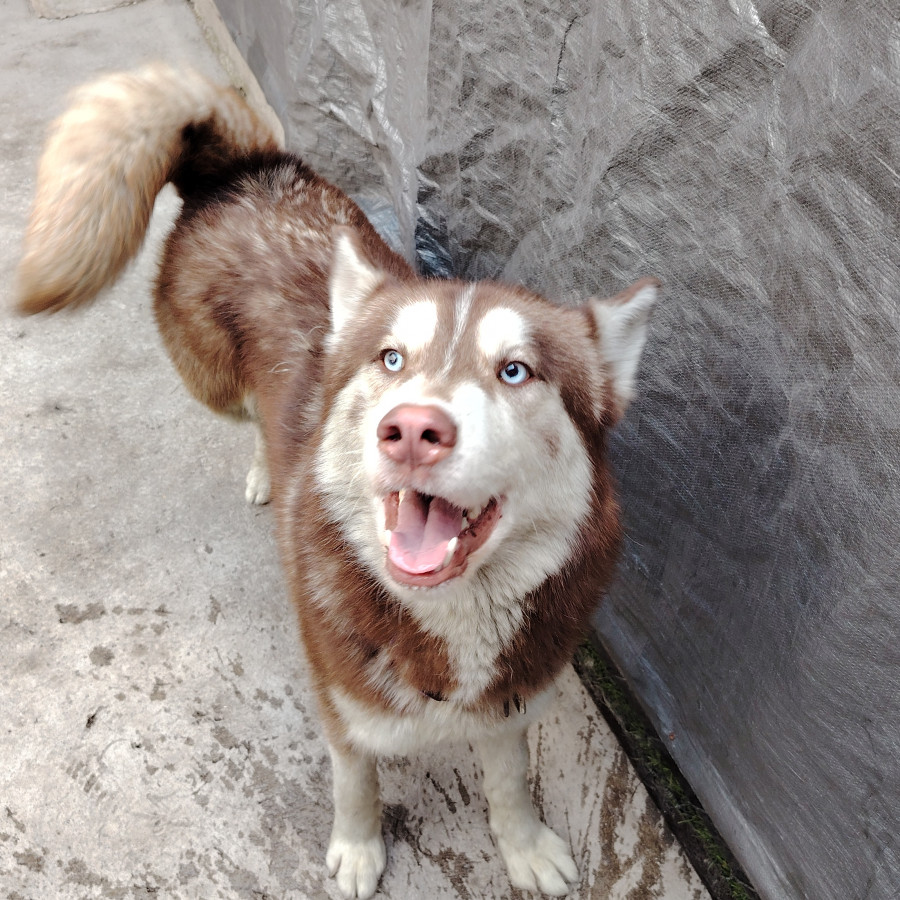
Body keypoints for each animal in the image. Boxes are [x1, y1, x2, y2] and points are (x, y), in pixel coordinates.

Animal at [17, 65, 656, 900]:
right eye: (392, 359)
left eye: (515, 371)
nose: (412, 430)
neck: (448, 623)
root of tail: (246, 166)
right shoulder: (340, 699)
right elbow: (357, 778)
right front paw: (357, 848)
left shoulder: (510, 702)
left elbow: (510, 779)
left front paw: (522, 844)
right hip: (213, 383)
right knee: (254, 417)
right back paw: (266, 469)